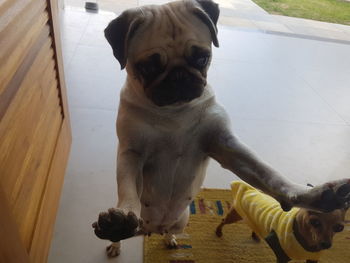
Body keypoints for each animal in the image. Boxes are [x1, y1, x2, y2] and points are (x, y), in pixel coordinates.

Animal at [92, 0, 350, 258]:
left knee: (169, 230)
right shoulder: (132, 153)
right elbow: (128, 192)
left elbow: (270, 175)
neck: (175, 113)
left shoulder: (226, 146)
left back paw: (170, 238)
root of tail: (151, 229)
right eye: (148, 67)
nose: (178, 76)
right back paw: (117, 239)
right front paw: (122, 219)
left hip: (181, 220)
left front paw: (314, 196)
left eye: (202, 58)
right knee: (127, 231)